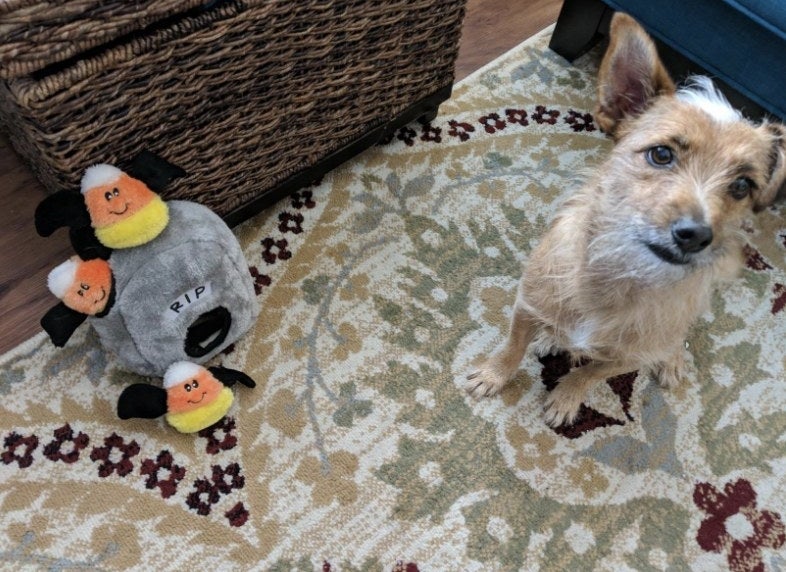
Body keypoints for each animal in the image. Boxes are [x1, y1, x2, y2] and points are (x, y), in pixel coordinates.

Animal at [466, 13, 784, 426]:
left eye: (743, 185)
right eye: (661, 154)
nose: (697, 235)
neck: (621, 274)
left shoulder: (627, 358)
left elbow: (588, 374)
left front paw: (566, 397)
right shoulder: (526, 306)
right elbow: (512, 346)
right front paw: (494, 375)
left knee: (677, 335)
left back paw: (672, 359)